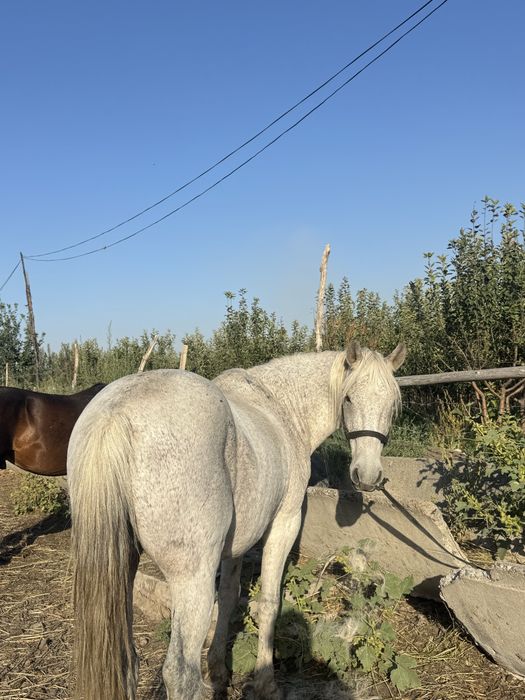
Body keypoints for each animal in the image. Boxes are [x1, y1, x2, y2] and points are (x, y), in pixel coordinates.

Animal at [68, 340, 406, 700]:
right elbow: (269, 603)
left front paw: (219, 670)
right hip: (192, 580)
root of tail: (116, 413)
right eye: (349, 398)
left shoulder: (236, 544)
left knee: (127, 661)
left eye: (391, 405)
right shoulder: (284, 523)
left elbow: (230, 599)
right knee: (179, 674)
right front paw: (265, 681)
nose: (368, 476)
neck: (281, 409)